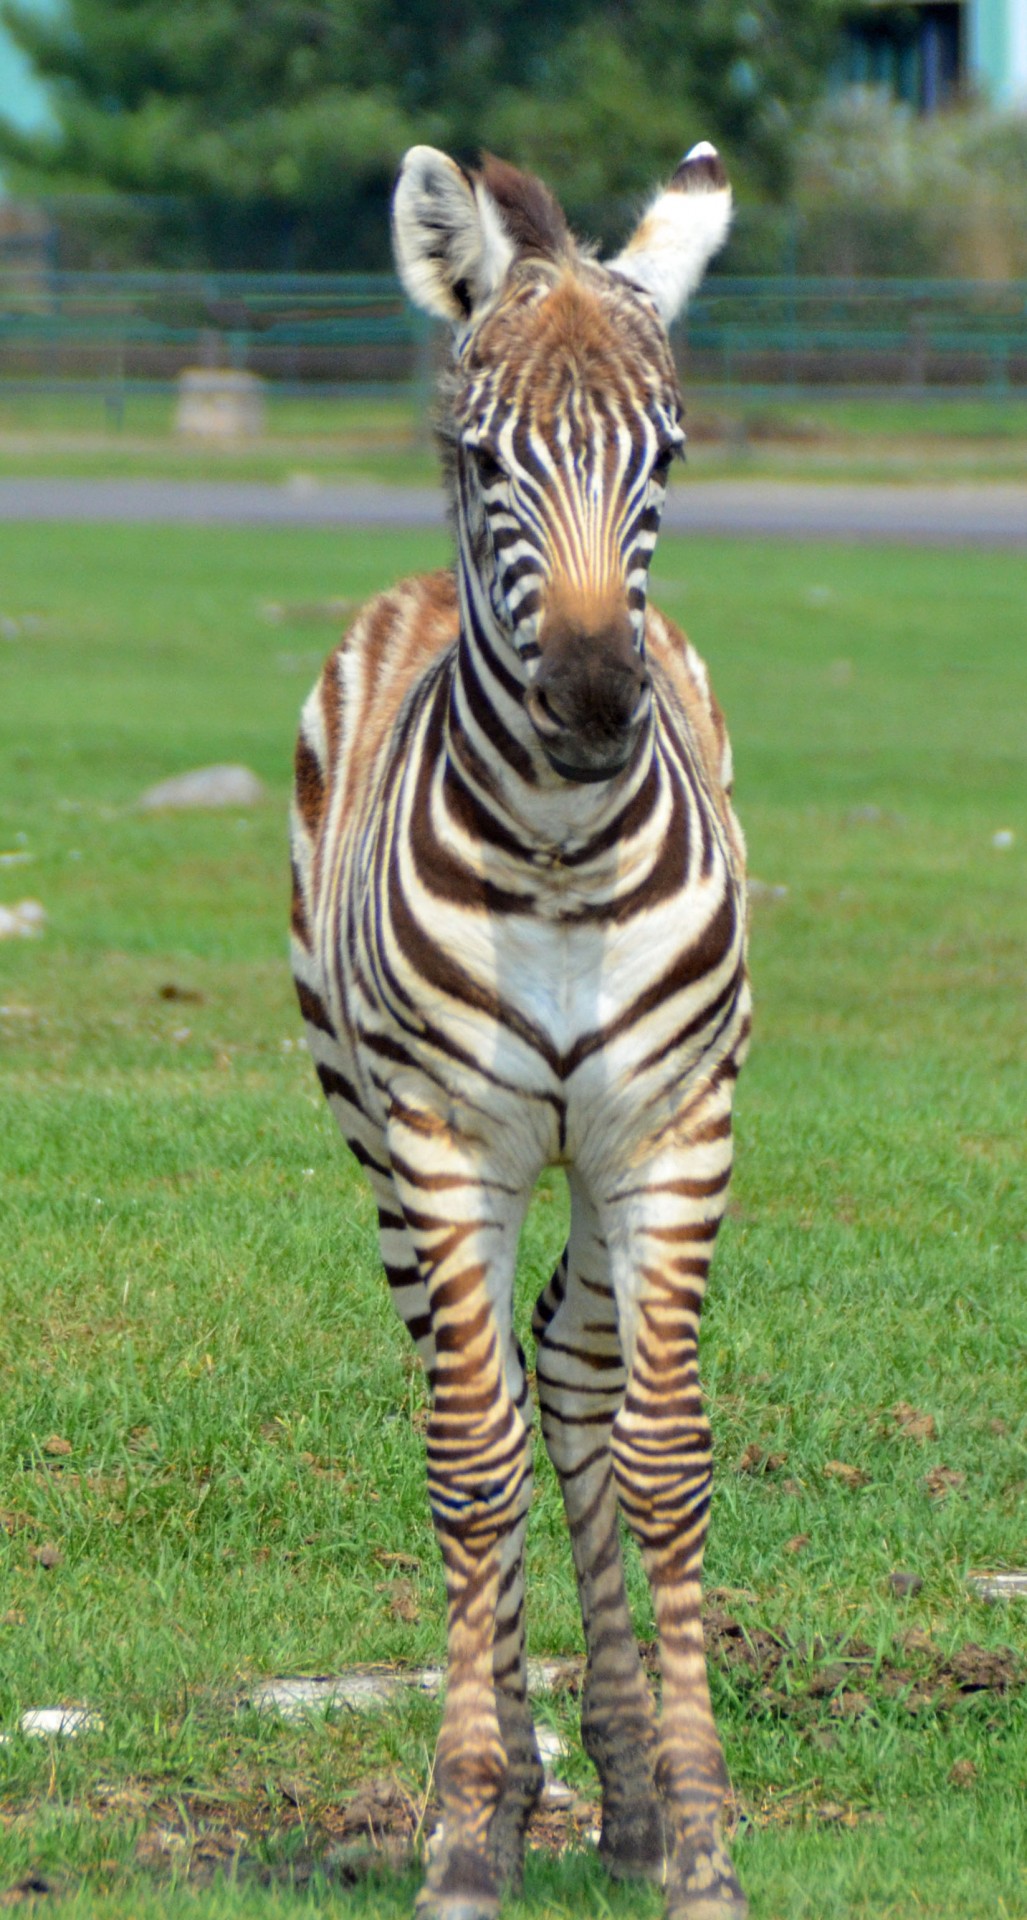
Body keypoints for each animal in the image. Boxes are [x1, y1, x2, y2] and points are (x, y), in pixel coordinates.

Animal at [291, 142, 756, 1912]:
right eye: (482, 456)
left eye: (665, 452)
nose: (594, 702)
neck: (558, 856)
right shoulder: (443, 1142)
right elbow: (468, 1467)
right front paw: (467, 1823)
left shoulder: (673, 1134)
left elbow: (658, 1457)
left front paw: (692, 1832)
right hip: (381, 1142)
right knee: (462, 1379)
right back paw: (511, 1772)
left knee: (564, 1360)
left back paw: (616, 1777)